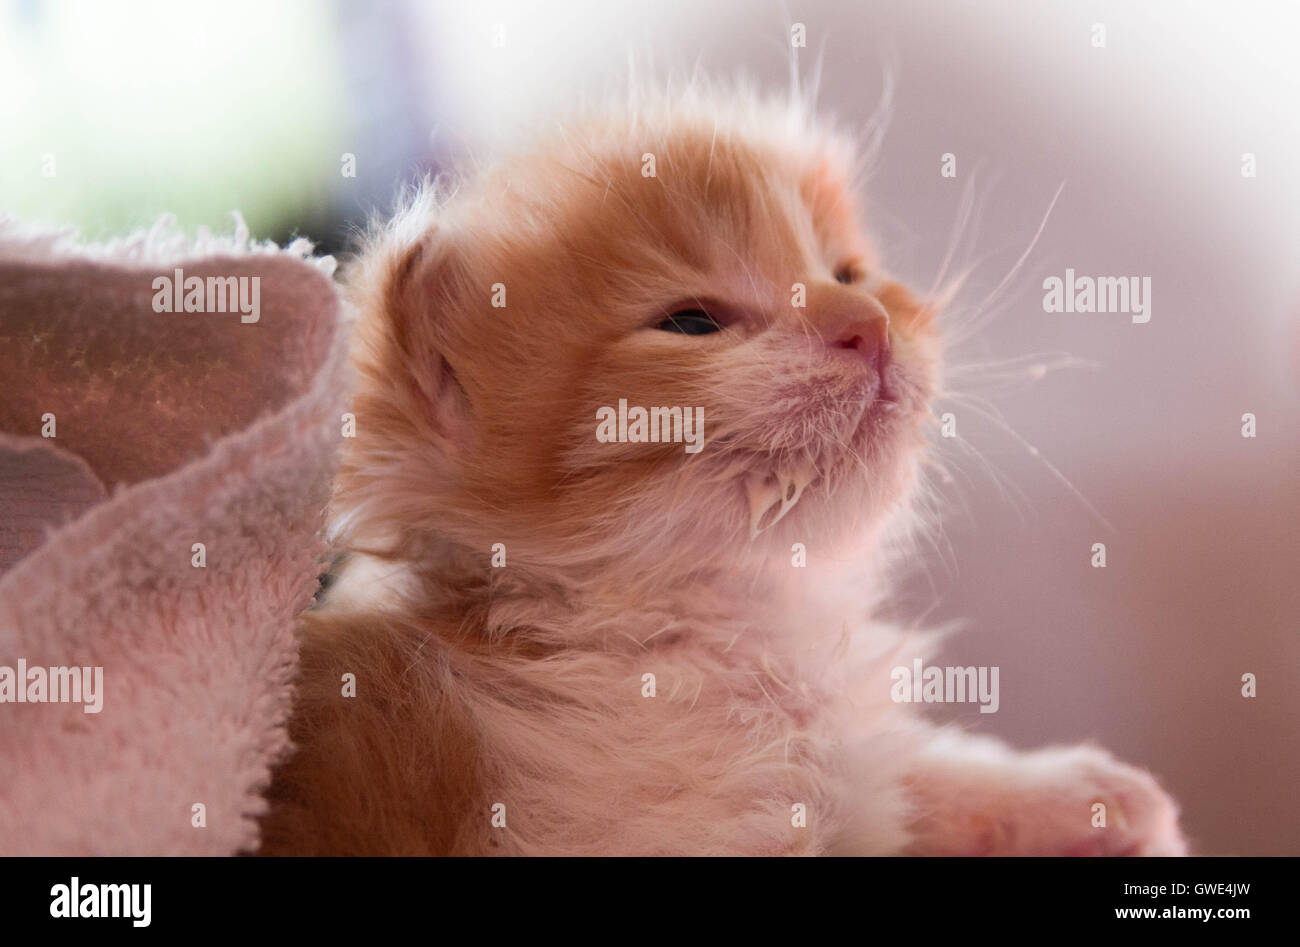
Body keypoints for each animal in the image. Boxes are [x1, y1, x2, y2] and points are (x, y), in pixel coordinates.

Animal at [256, 90, 1190, 858]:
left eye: (847, 274)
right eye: (692, 322)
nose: (870, 326)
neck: (747, 629)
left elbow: (898, 776)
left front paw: (1074, 792)